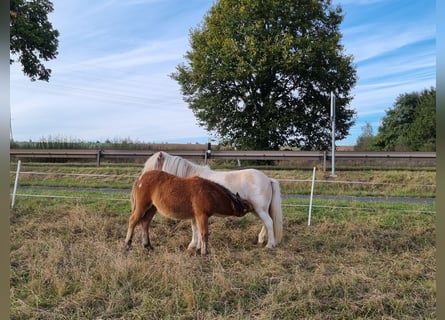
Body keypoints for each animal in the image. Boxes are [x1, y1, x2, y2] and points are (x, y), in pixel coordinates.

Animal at [125, 170, 253, 255]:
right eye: (244, 204)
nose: (251, 207)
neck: (208, 192)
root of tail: (141, 178)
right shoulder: (202, 215)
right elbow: (204, 234)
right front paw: (204, 252)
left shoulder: (197, 216)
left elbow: (198, 232)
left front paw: (198, 249)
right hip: (142, 207)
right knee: (133, 221)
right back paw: (127, 244)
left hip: (152, 208)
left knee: (145, 222)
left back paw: (147, 246)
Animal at [135, 151, 280, 249]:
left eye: (151, 166)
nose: (141, 180)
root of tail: (268, 179)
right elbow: (195, 228)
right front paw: (195, 245)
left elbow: (195, 228)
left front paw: (194, 245)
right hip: (256, 209)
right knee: (266, 223)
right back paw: (261, 240)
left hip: (260, 209)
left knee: (268, 222)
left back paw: (270, 245)